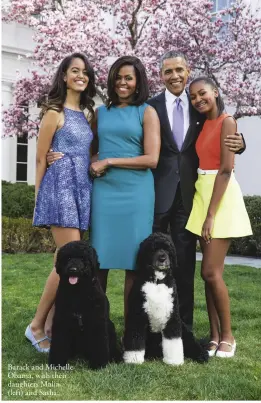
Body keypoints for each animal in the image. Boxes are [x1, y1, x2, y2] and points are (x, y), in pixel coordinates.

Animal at [48, 241, 120, 370]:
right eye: (68, 258)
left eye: (83, 258)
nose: (73, 270)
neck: (78, 292)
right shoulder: (62, 322)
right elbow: (59, 343)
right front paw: (57, 363)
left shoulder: (97, 322)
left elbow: (99, 344)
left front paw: (99, 364)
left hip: (110, 327)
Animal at [123, 230, 208, 366]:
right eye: (153, 249)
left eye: (168, 249)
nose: (162, 258)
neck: (157, 282)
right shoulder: (137, 315)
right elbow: (135, 339)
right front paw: (134, 360)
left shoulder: (172, 317)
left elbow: (173, 340)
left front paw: (174, 361)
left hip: (184, 330)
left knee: (193, 344)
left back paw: (202, 355)